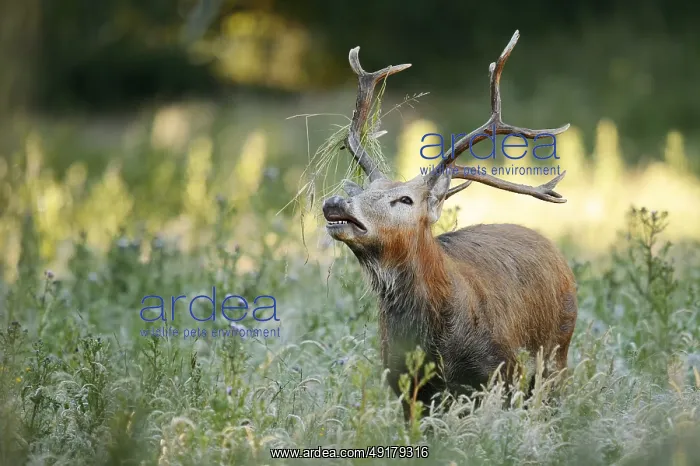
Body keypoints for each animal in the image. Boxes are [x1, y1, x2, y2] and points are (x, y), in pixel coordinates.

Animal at [321, 31, 578, 419]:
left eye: (405, 200)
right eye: (363, 191)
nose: (336, 203)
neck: (437, 344)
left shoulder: (501, 370)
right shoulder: (402, 383)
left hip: (557, 350)